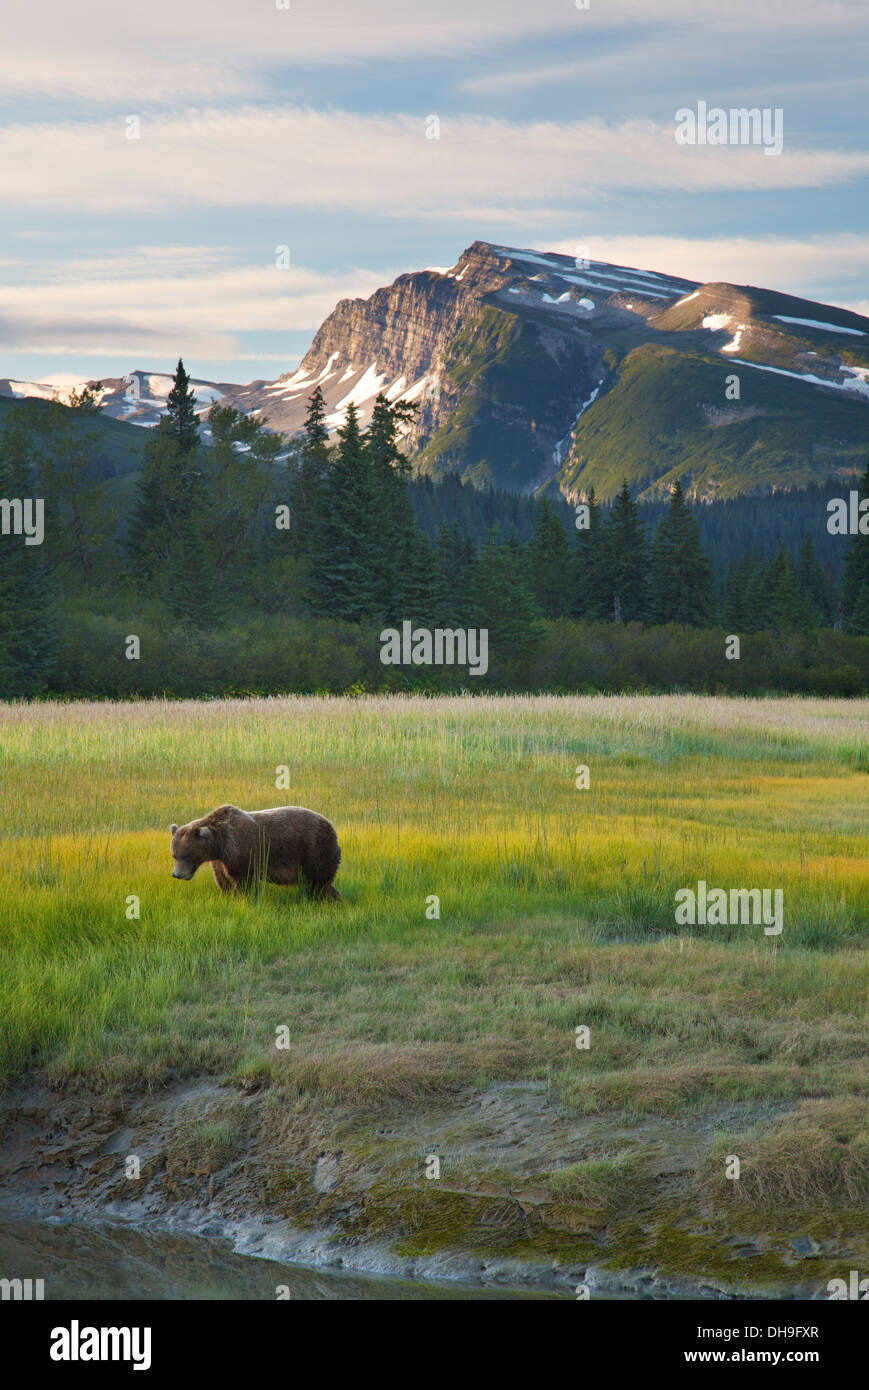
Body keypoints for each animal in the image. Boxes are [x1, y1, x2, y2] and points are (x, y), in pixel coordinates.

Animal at [169, 803, 341, 900]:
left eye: (186, 855)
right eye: (174, 855)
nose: (176, 874)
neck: (219, 845)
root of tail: (331, 826)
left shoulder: (241, 852)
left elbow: (246, 881)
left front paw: (247, 898)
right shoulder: (220, 860)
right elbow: (223, 880)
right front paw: (228, 897)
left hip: (314, 850)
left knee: (318, 882)